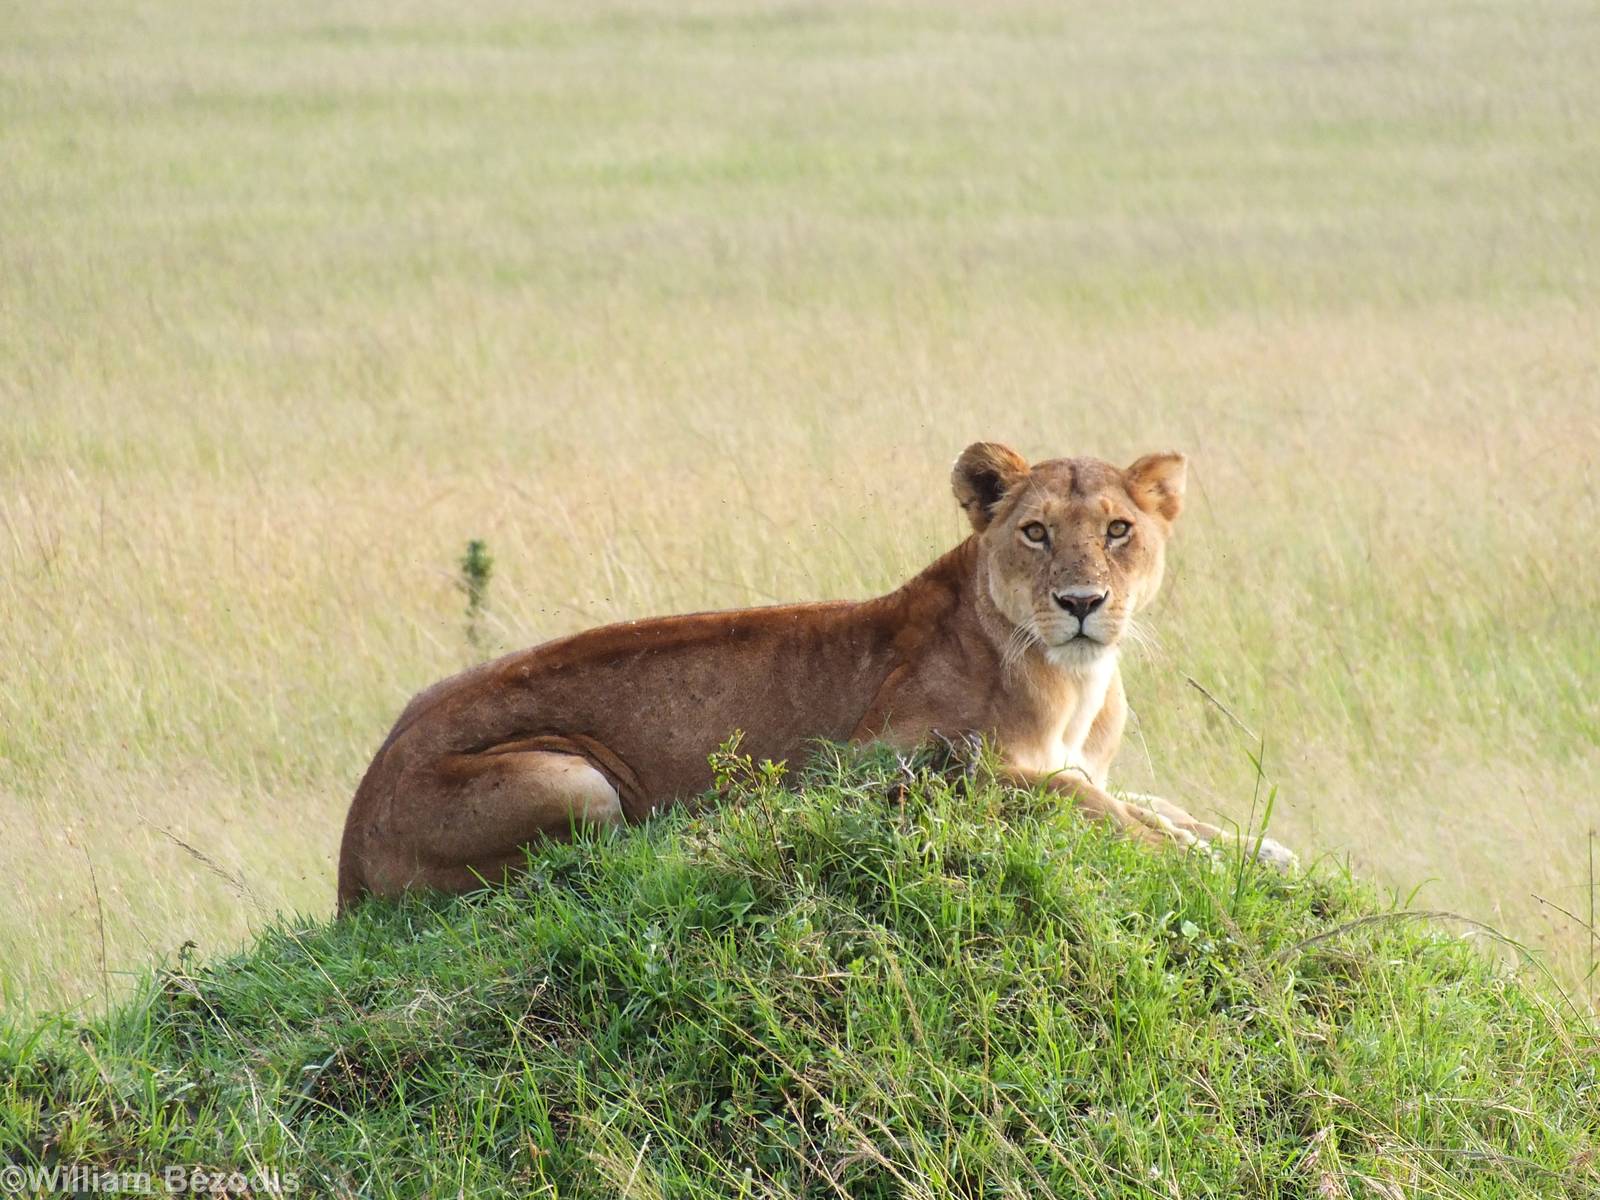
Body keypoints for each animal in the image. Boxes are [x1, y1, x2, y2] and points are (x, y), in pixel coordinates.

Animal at [336, 443, 1291, 910]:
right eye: (1036, 532)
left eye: (1120, 529)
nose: (1084, 602)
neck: (1075, 681)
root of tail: (349, 834)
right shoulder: (883, 766)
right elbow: (1076, 799)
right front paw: (1203, 862)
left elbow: (1144, 800)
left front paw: (1256, 847)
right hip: (575, 783)